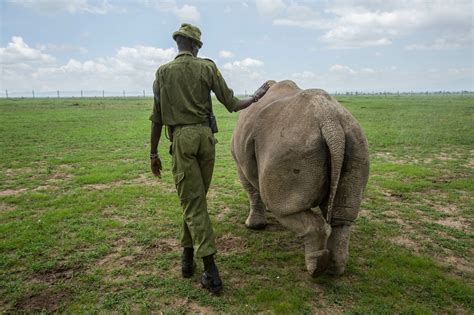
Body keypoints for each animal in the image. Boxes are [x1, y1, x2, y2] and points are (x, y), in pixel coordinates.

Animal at [230, 80, 370, 278]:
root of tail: (330, 121)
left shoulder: (239, 162)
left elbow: (253, 192)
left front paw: (253, 226)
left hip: (290, 144)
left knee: (282, 207)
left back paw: (315, 270)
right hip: (356, 140)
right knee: (343, 216)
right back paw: (334, 270)